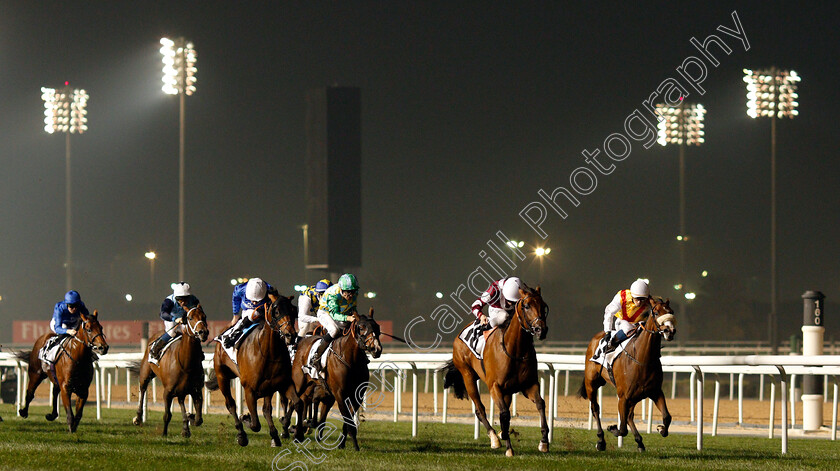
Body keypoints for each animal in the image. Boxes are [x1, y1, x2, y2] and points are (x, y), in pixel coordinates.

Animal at [133, 304, 210, 436]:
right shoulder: (167, 392)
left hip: (181, 389)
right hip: (145, 373)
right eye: (190, 318)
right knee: (142, 389)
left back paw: (185, 427)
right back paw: (138, 418)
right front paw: (164, 433)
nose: (203, 332)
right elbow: (167, 415)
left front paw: (189, 420)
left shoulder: (196, 390)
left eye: (204, 316)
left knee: (181, 400)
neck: (186, 364)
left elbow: (199, 419)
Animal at [206, 296, 298, 448]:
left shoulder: (280, 384)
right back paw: (241, 434)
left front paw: (283, 432)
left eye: (293, 310)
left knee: (266, 409)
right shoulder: (249, 390)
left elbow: (294, 403)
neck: (268, 352)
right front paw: (245, 417)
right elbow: (255, 424)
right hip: (222, 376)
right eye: (276, 311)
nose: (290, 334)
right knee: (231, 404)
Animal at [288, 308, 380, 452]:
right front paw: (356, 446)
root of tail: (302, 342)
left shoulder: (357, 395)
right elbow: (347, 419)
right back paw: (292, 431)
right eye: (361, 327)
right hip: (300, 383)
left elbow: (348, 421)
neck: (351, 360)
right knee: (294, 402)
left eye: (377, 327)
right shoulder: (339, 393)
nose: (376, 348)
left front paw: (342, 444)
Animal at [440, 286, 552, 460]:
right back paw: (494, 437)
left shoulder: (529, 384)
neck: (515, 350)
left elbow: (540, 403)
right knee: (480, 409)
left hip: (507, 390)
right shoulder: (495, 386)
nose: (541, 329)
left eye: (544, 306)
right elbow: (504, 414)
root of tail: (459, 335)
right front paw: (507, 443)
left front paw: (544, 442)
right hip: (468, 376)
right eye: (526, 306)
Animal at [580, 298, 680, 454]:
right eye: (657, 312)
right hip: (591, 383)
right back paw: (601, 440)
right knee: (595, 408)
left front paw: (660, 429)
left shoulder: (655, 391)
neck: (642, 359)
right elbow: (622, 429)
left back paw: (640, 442)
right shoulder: (623, 397)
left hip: (635, 396)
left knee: (629, 416)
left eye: (671, 312)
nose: (670, 330)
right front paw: (612, 428)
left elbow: (667, 416)